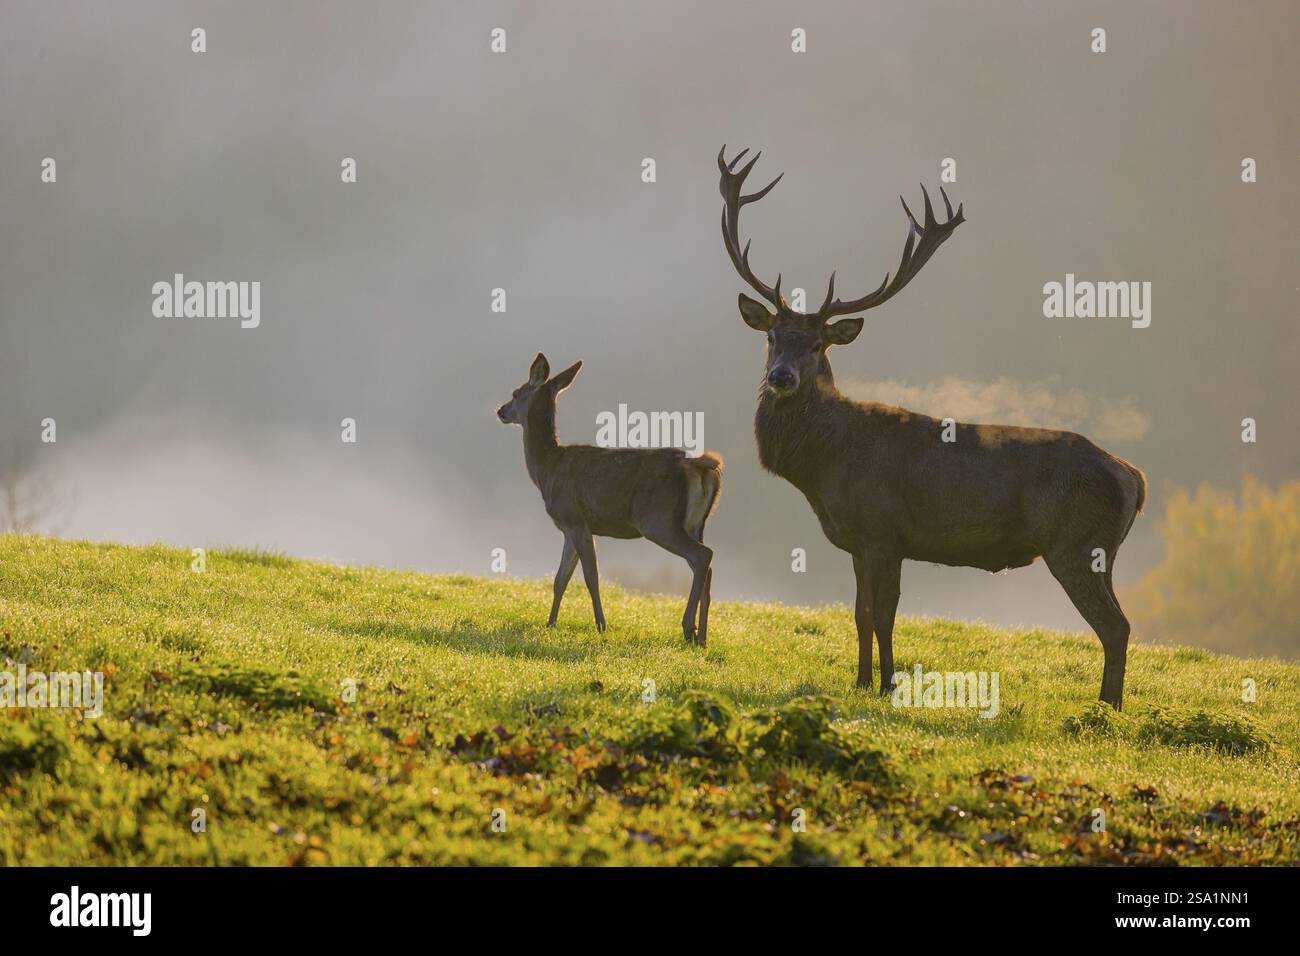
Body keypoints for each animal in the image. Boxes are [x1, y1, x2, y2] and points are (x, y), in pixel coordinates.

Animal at [496, 353, 723, 645]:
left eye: (515, 392)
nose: (501, 410)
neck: (547, 470)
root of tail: (700, 467)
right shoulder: (568, 528)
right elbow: (560, 579)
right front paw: (549, 624)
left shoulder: (575, 518)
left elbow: (591, 577)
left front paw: (601, 626)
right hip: (697, 523)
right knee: (706, 565)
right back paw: (702, 637)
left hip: (658, 520)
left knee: (702, 556)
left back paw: (687, 628)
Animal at [718, 147, 1147, 709]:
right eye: (771, 337)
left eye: (817, 345)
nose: (781, 377)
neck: (825, 469)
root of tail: (1135, 478)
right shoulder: (857, 543)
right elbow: (859, 615)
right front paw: (859, 682)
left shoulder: (885, 531)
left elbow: (885, 616)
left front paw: (888, 686)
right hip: (1101, 551)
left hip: (1075, 544)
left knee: (1116, 627)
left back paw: (1106, 711)